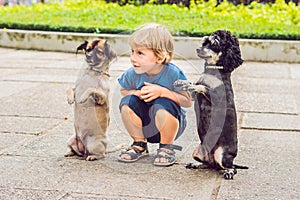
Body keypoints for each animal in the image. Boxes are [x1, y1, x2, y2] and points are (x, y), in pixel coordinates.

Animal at [175, 30, 247, 180]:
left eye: (214, 44)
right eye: (205, 42)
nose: (198, 49)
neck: (212, 72)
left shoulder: (217, 97)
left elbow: (203, 87)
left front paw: (196, 85)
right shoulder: (194, 97)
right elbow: (192, 84)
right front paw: (182, 82)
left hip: (222, 155)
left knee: (231, 167)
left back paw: (229, 172)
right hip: (198, 152)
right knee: (208, 164)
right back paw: (196, 164)